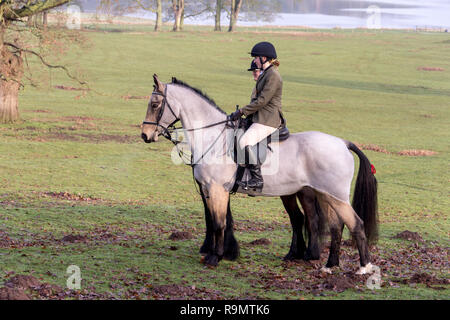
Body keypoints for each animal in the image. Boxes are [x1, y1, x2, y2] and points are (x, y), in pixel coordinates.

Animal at [142, 75, 378, 276]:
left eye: (155, 104)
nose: (145, 135)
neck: (214, 138)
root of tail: (343, 143)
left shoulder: (217, 189)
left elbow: (219, 223)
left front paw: (215, 257)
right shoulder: (208, 189)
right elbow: (213, 220)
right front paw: (215, 252)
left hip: (335, 196)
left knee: (355, 224)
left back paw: (364, 267)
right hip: (324, 195)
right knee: (335, 226)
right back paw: (329, 265)